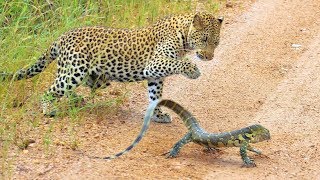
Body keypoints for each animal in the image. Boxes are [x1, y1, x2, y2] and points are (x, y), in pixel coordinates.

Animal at [1, 12, 224, 122]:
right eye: (205, 40)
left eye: (216, 42)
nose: (209, 57)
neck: (183, 34)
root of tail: (62, 36)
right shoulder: (155, 63)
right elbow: (179, 63)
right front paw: (192, 69)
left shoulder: (155, 74)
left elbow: (155, 95)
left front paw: (158, 115)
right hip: (74, 70)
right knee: (52, 90)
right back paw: (49, 109)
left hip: (87, 76)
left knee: (78, 86)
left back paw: (77, 99)